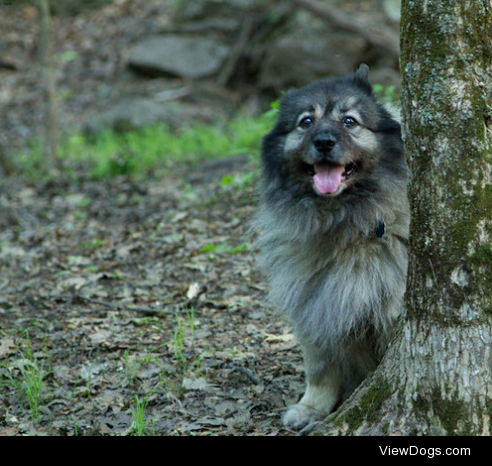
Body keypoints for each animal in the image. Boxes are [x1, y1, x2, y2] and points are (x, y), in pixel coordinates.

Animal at [252, 65, 410, 430]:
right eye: (306, 122)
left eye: (349, 121)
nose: (324, 141)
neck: (342, 224)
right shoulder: (315, 304)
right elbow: (320, 368)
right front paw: (312, 408)